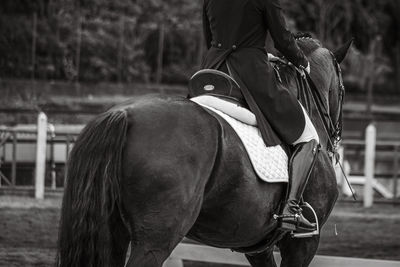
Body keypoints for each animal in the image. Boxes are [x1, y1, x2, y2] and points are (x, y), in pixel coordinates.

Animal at [55, 36, 350, 266]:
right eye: (343, 90)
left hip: (114, 231)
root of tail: (123, 115)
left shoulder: (257, 245)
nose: (336, 138)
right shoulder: (302, 244)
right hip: (156, 239)